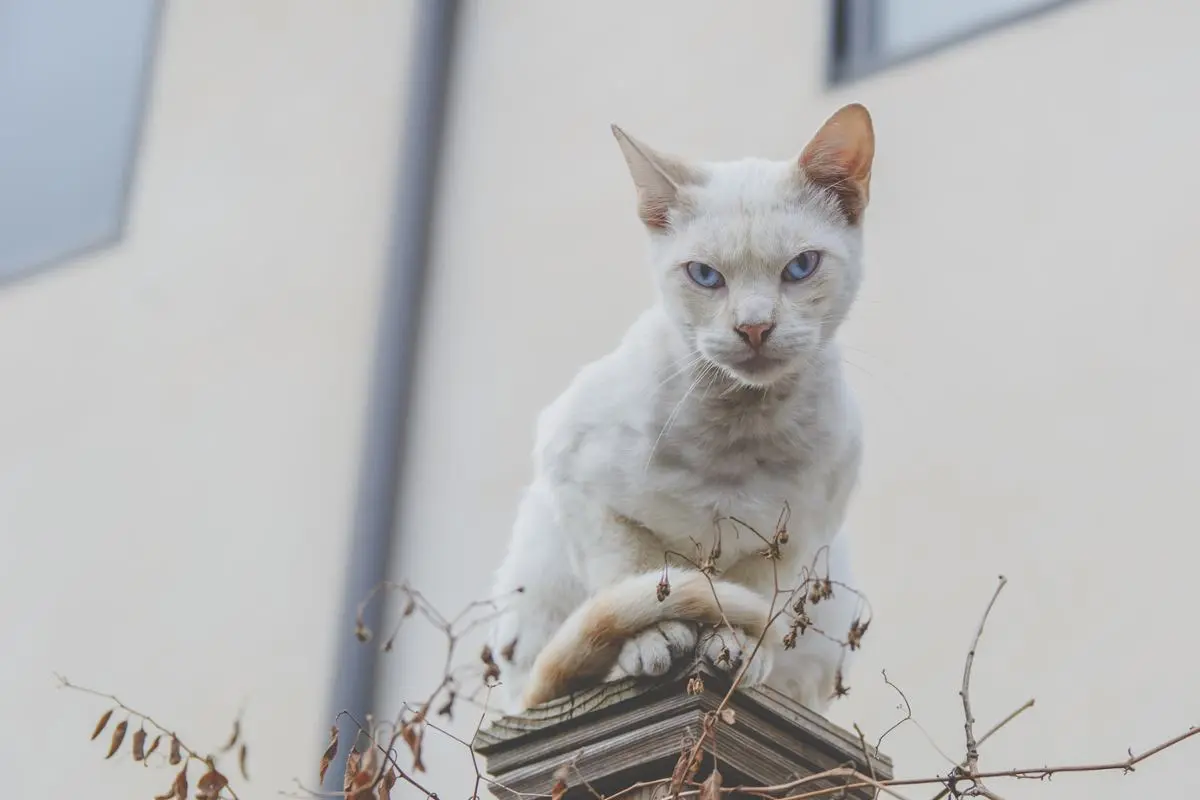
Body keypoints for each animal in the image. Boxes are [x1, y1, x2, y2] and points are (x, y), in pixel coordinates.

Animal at [484, 104, 873, 714]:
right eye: (705, 275)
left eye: (801, 267)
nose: (754, 327)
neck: (737, 435)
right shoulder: (581, 486)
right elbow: (638, 576)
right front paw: (652, 640)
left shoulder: (797, 538)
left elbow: (751, 599)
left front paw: (737, 648)